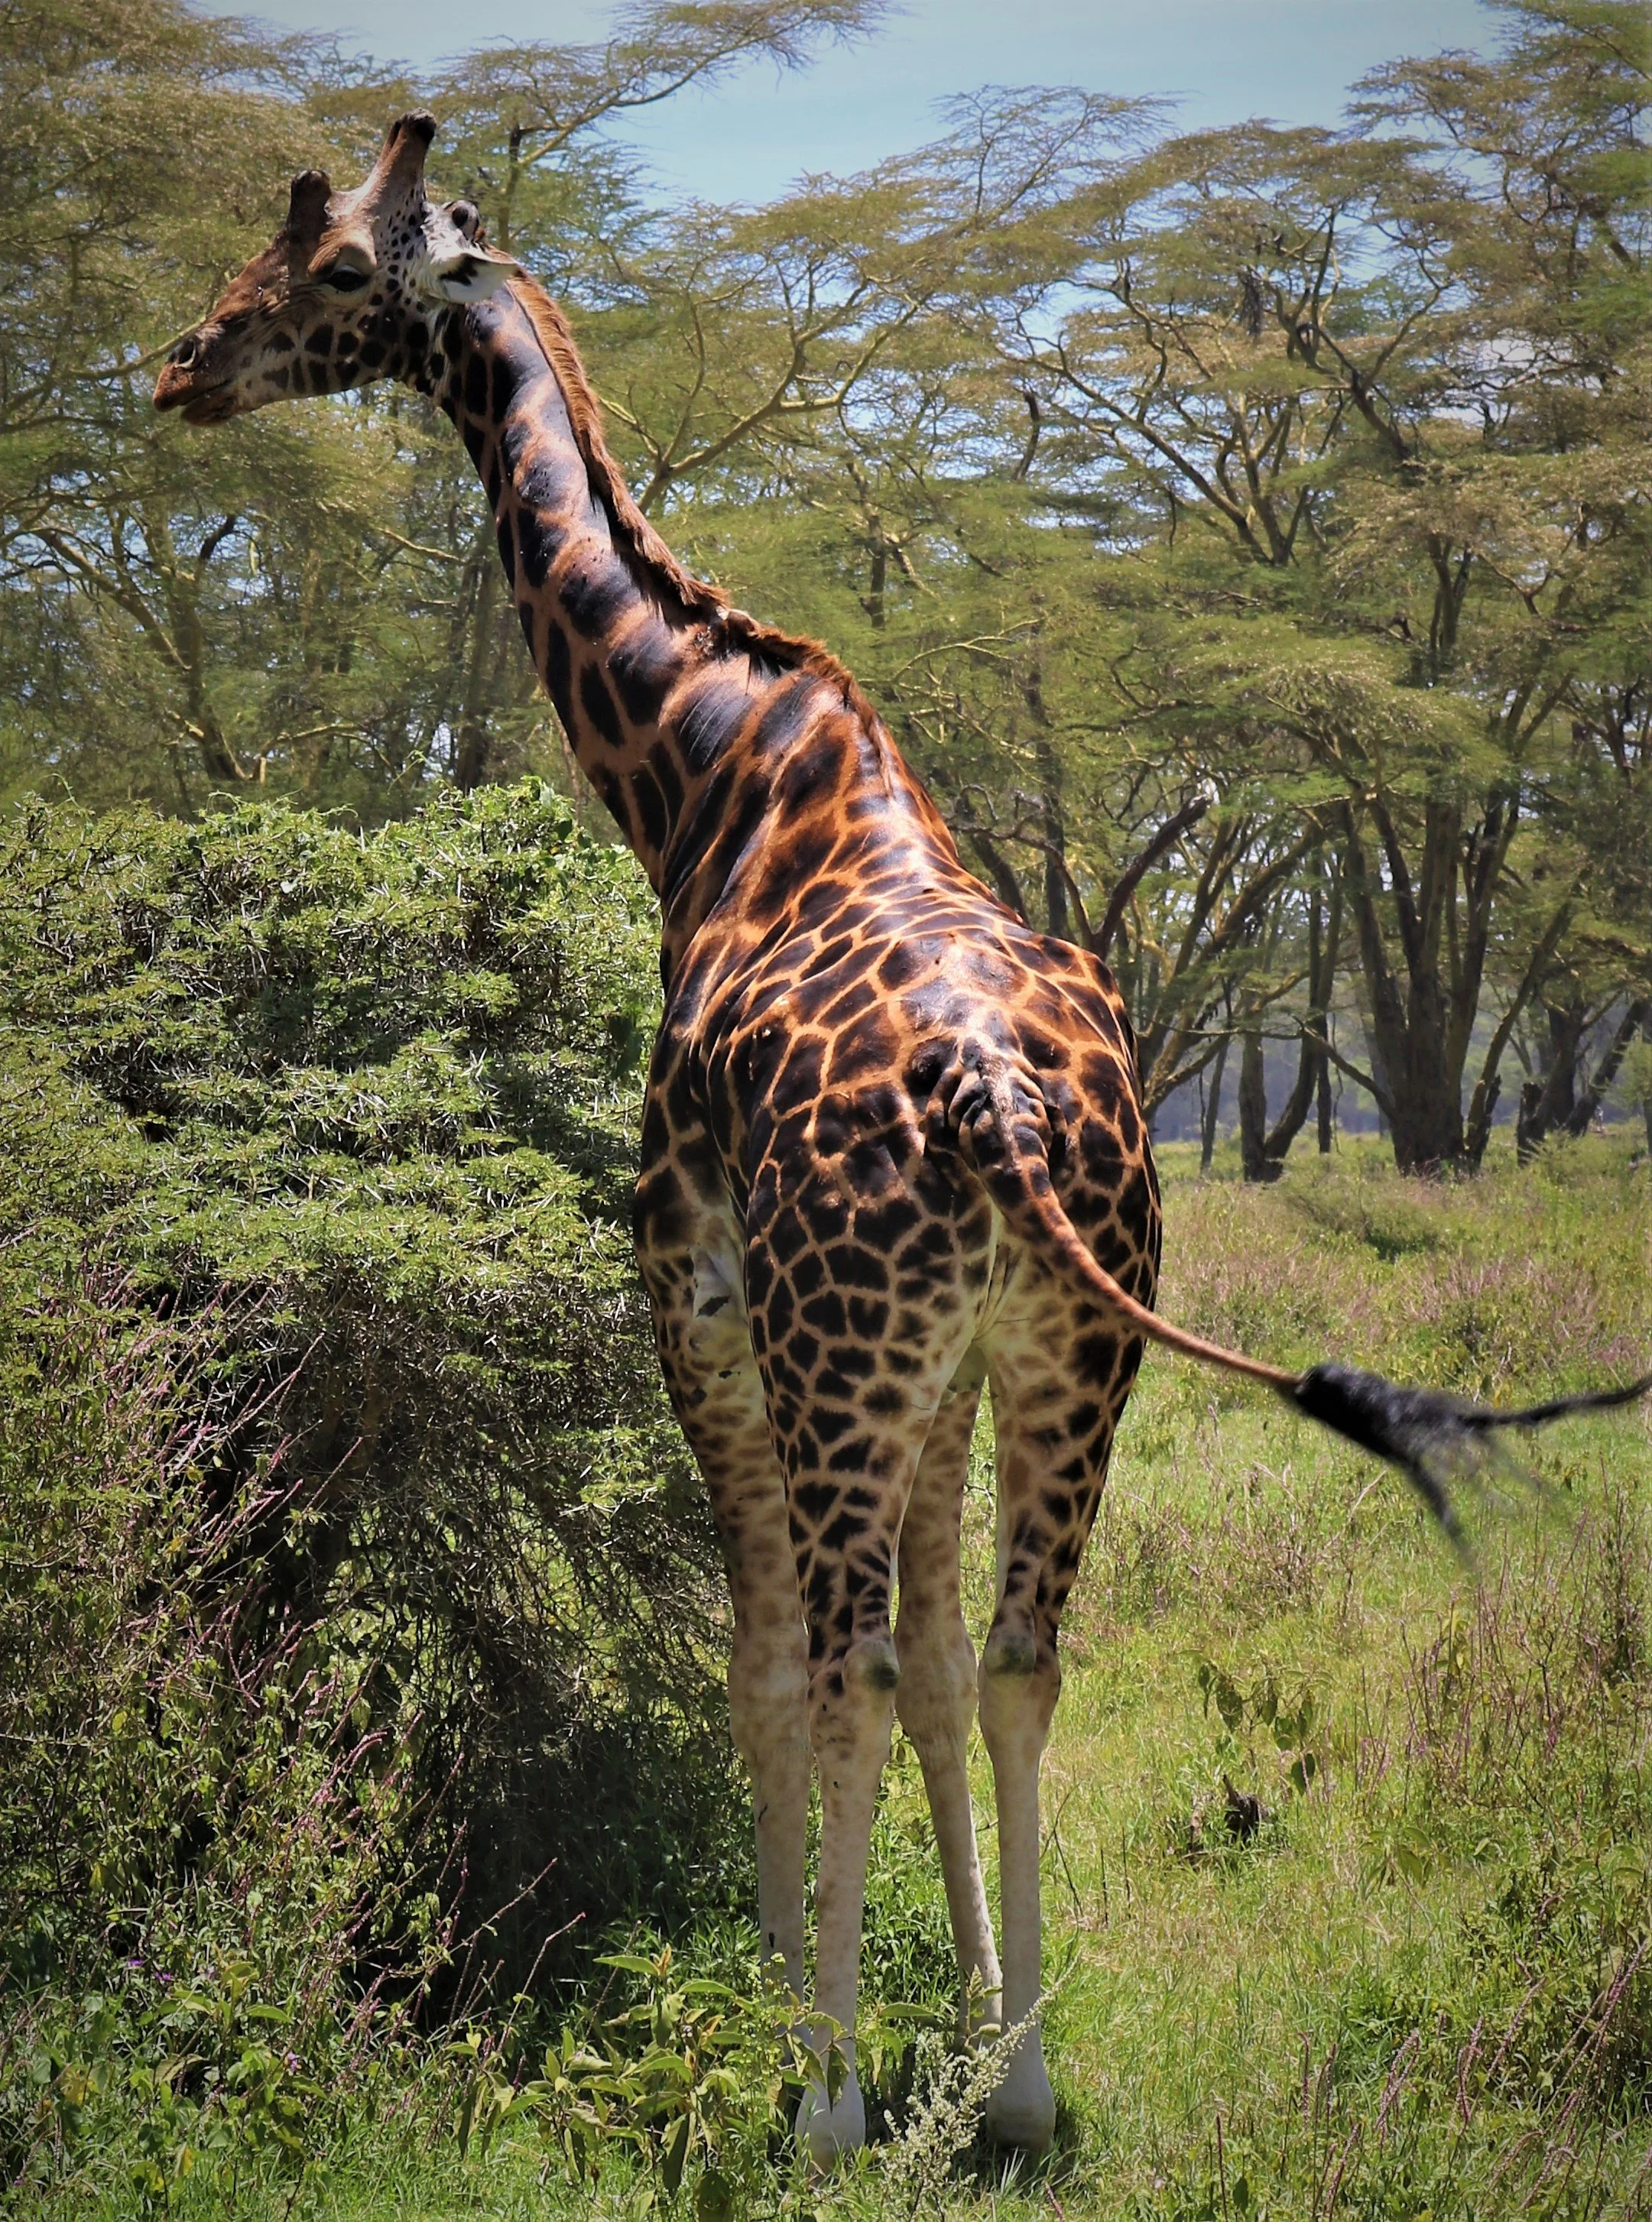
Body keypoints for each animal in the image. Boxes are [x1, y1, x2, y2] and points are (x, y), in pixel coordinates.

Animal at [154, 114, 1652, 2162]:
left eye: (319, 271)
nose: (178, 365)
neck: (697, 778)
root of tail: (997, 1095)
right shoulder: (949, 1355)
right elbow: (943, 1670)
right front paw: (958, 2026)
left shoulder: (693, 1301)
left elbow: (766, 1670)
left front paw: (804, 2022)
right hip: (1060, 1345)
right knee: (1016, 1655)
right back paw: (1018, 2080)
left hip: (839, 1345)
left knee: (842, 1659)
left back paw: (824, 2108)